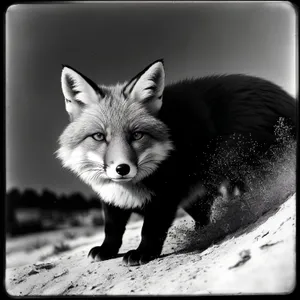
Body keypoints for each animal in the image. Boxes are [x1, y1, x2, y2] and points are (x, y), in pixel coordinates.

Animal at [56, 59, 296, 266]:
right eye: (98, 137)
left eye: (137, 135)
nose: (122, 169)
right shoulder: (112, 198)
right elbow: (112, 228)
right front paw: (107, 250)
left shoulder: (166, 195)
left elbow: (151, 229)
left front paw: (144, 253)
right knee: (205, 214)